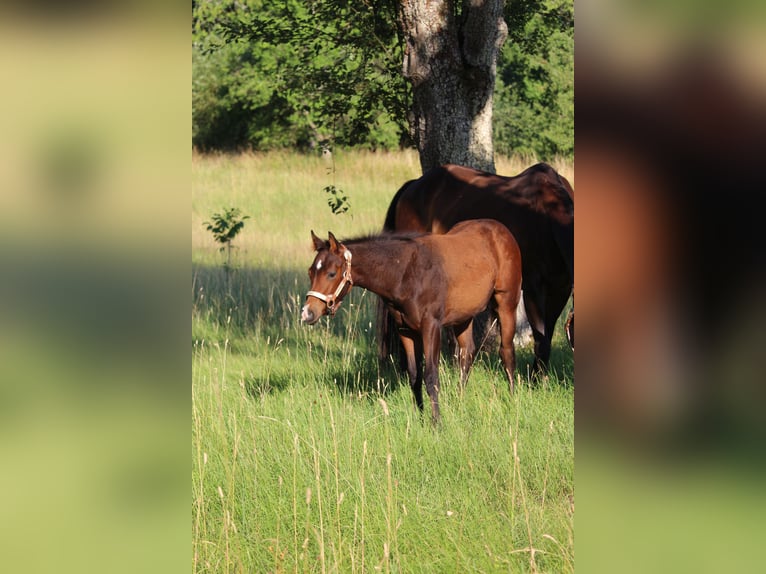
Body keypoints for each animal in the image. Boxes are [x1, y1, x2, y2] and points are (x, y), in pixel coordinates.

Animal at [300, 219, 523, 422]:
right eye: (310, 272)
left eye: (331, 273)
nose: (308, 313)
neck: (406, 272)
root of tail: (500, 229)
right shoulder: (405, 330)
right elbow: (414, 376)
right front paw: (421, 417)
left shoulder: (431, 328)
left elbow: (431, 377)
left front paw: (436, 424)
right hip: (463, 316)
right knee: (466, 354)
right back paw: (460, 402)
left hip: (506, 304)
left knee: (506, 351)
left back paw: (512, 400)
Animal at [381, 162, 574, 373]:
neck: (546, 218)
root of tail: (413, 186)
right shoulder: (533, 288)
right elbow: (540, 338)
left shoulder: (560, 290)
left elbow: (547, 338)